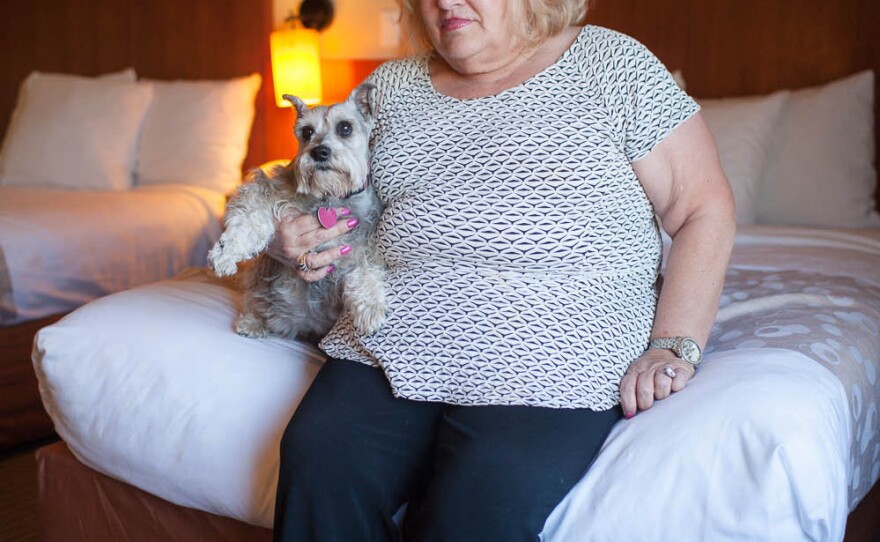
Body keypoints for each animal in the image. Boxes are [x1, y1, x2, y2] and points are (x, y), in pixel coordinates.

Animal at [208, 84, 386, 340]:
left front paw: (371, 308)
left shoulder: (365, 244)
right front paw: (226, 253)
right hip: (260, 277)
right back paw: (253, 322)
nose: (319, 152)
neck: (329, 196)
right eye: (307, 131)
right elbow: (251, 219)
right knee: (256, 299)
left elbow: (366, 269)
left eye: (345, 127)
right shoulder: (266, 190)